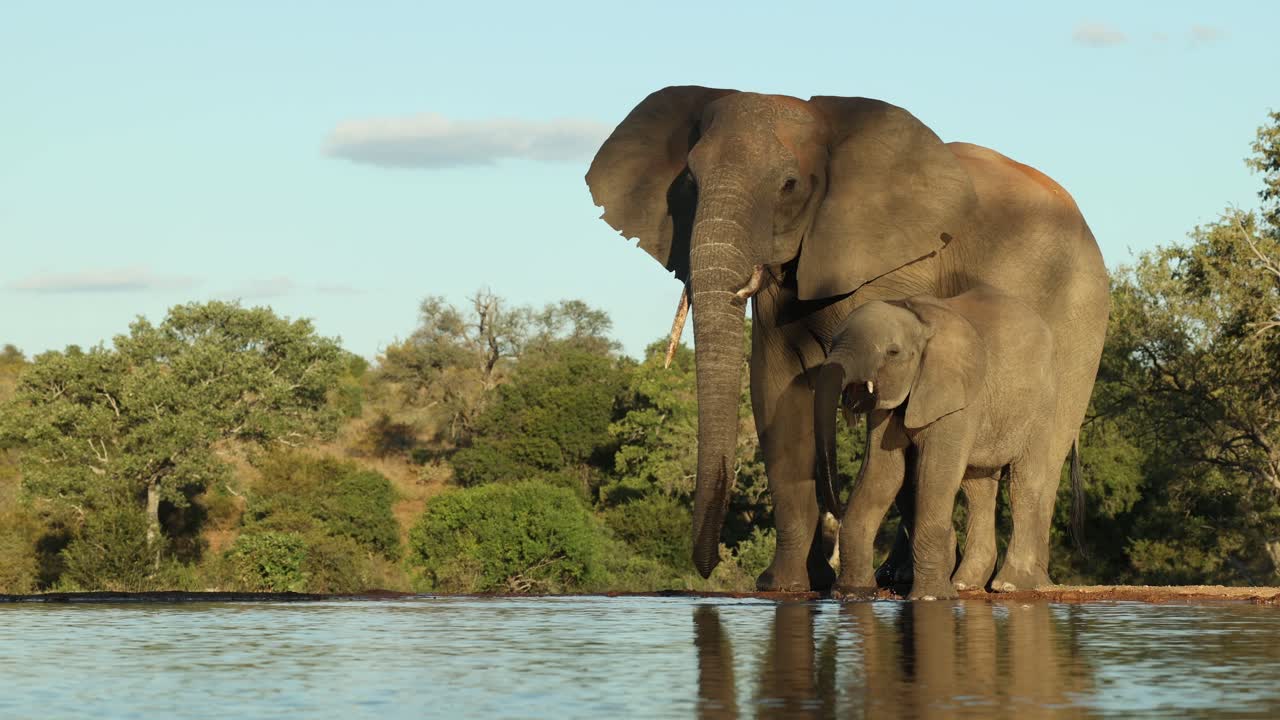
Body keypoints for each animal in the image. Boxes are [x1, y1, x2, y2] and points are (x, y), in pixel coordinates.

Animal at [813, 287, 1077, 599]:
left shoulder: (957, 400)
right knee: (978, 489)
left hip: (1042, 405)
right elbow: (881, 474)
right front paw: (851, 594)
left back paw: (1010, 585)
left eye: (893, 352)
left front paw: (931, 597)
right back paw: (965, 583)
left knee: (1023, 483)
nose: (835, 511)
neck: (919, 320)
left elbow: (935, 475)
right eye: (832, 343)